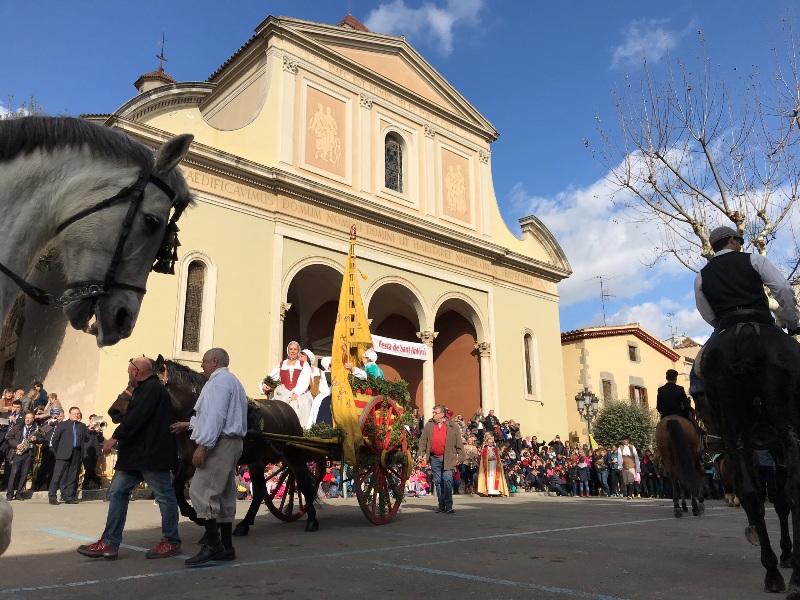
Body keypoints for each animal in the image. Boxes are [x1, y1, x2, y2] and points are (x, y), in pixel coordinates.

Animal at [108, 356, 324, 536]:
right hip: (257, 461)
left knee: (303, 483)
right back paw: (244, 524)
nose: (114, 411)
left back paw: (312, 519)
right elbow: (177, 486)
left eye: (140, 383)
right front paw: (194, 515)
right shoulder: (189, 461)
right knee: (260, 492)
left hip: (293, 456)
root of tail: (288, 411)